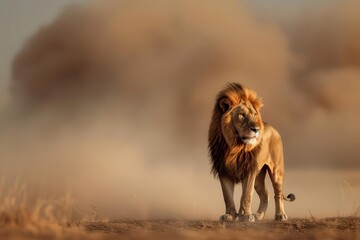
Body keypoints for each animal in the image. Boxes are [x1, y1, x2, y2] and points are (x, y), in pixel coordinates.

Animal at [208, 82, 296, 221]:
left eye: (255, 115)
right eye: (242, 115)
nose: (256, 129)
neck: (234, 146)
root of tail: (273, 127)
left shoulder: (250, 170)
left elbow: (246, 195)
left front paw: (245, 216)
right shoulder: (223, 170)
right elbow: (227, 196)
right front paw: (230, 216)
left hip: (276, 170)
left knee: (277, 193)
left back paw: (280, 215)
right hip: (259, 176)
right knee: (265, 194)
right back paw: (259, 215)